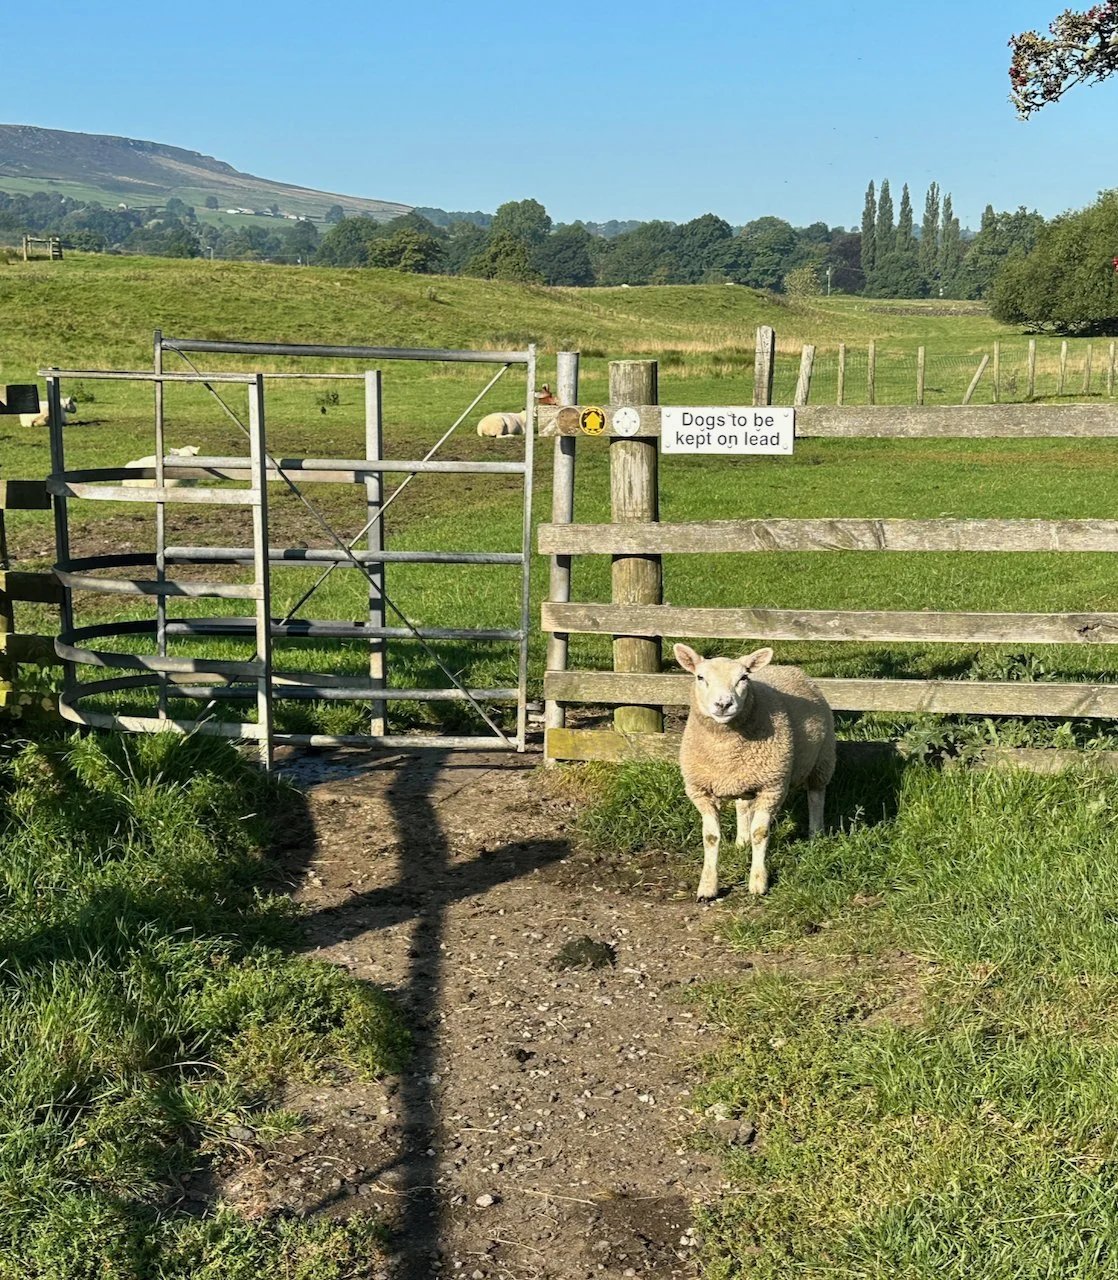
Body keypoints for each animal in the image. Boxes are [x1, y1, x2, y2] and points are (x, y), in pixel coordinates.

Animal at [674, 644, 835, 901]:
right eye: (700, 677)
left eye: (743, 678)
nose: (723, 704)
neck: (725, 751)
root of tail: (788, 668)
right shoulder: (700, 790)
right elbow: (710, 837)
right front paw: (707, 886)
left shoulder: (773, 787)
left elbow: (760, 833)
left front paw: (758, 883)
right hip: (744, 779)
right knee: (742, 806)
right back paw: (742, 841)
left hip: (822, 759)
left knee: (816, 795)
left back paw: (816, 834)